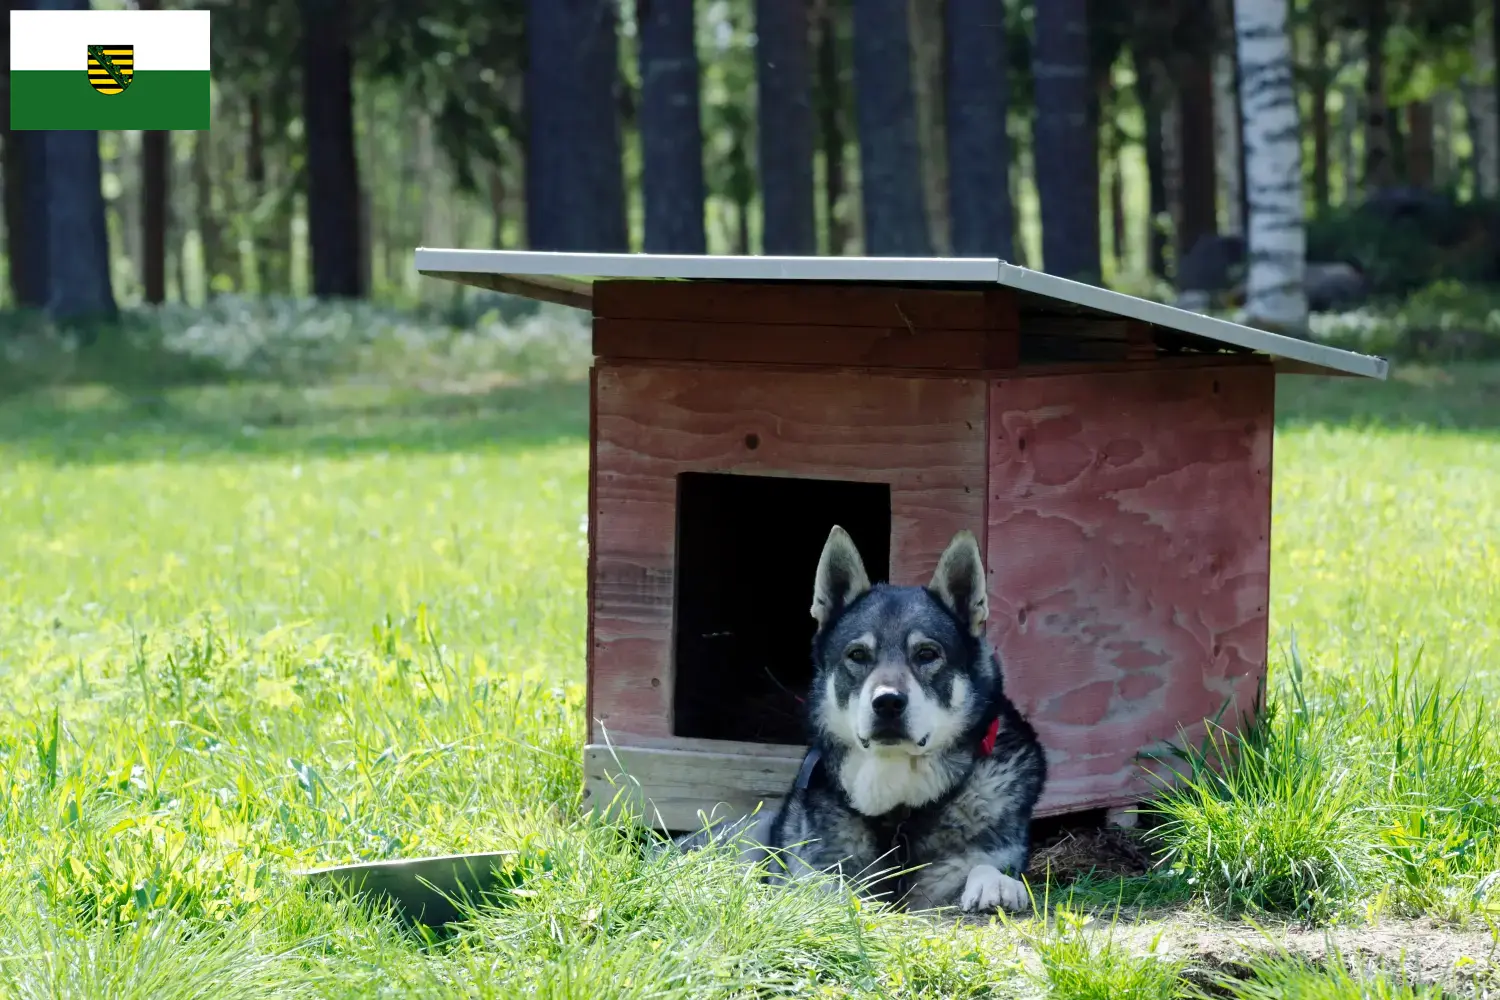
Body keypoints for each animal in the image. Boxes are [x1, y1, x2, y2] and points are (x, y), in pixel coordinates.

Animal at [678, 524, 1044, 917]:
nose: (887, 702)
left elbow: (985, 865)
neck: (900, 813)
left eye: (927, 654)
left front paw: (996, 884)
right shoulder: (818, 869)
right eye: (857, 655)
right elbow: (827, 885)